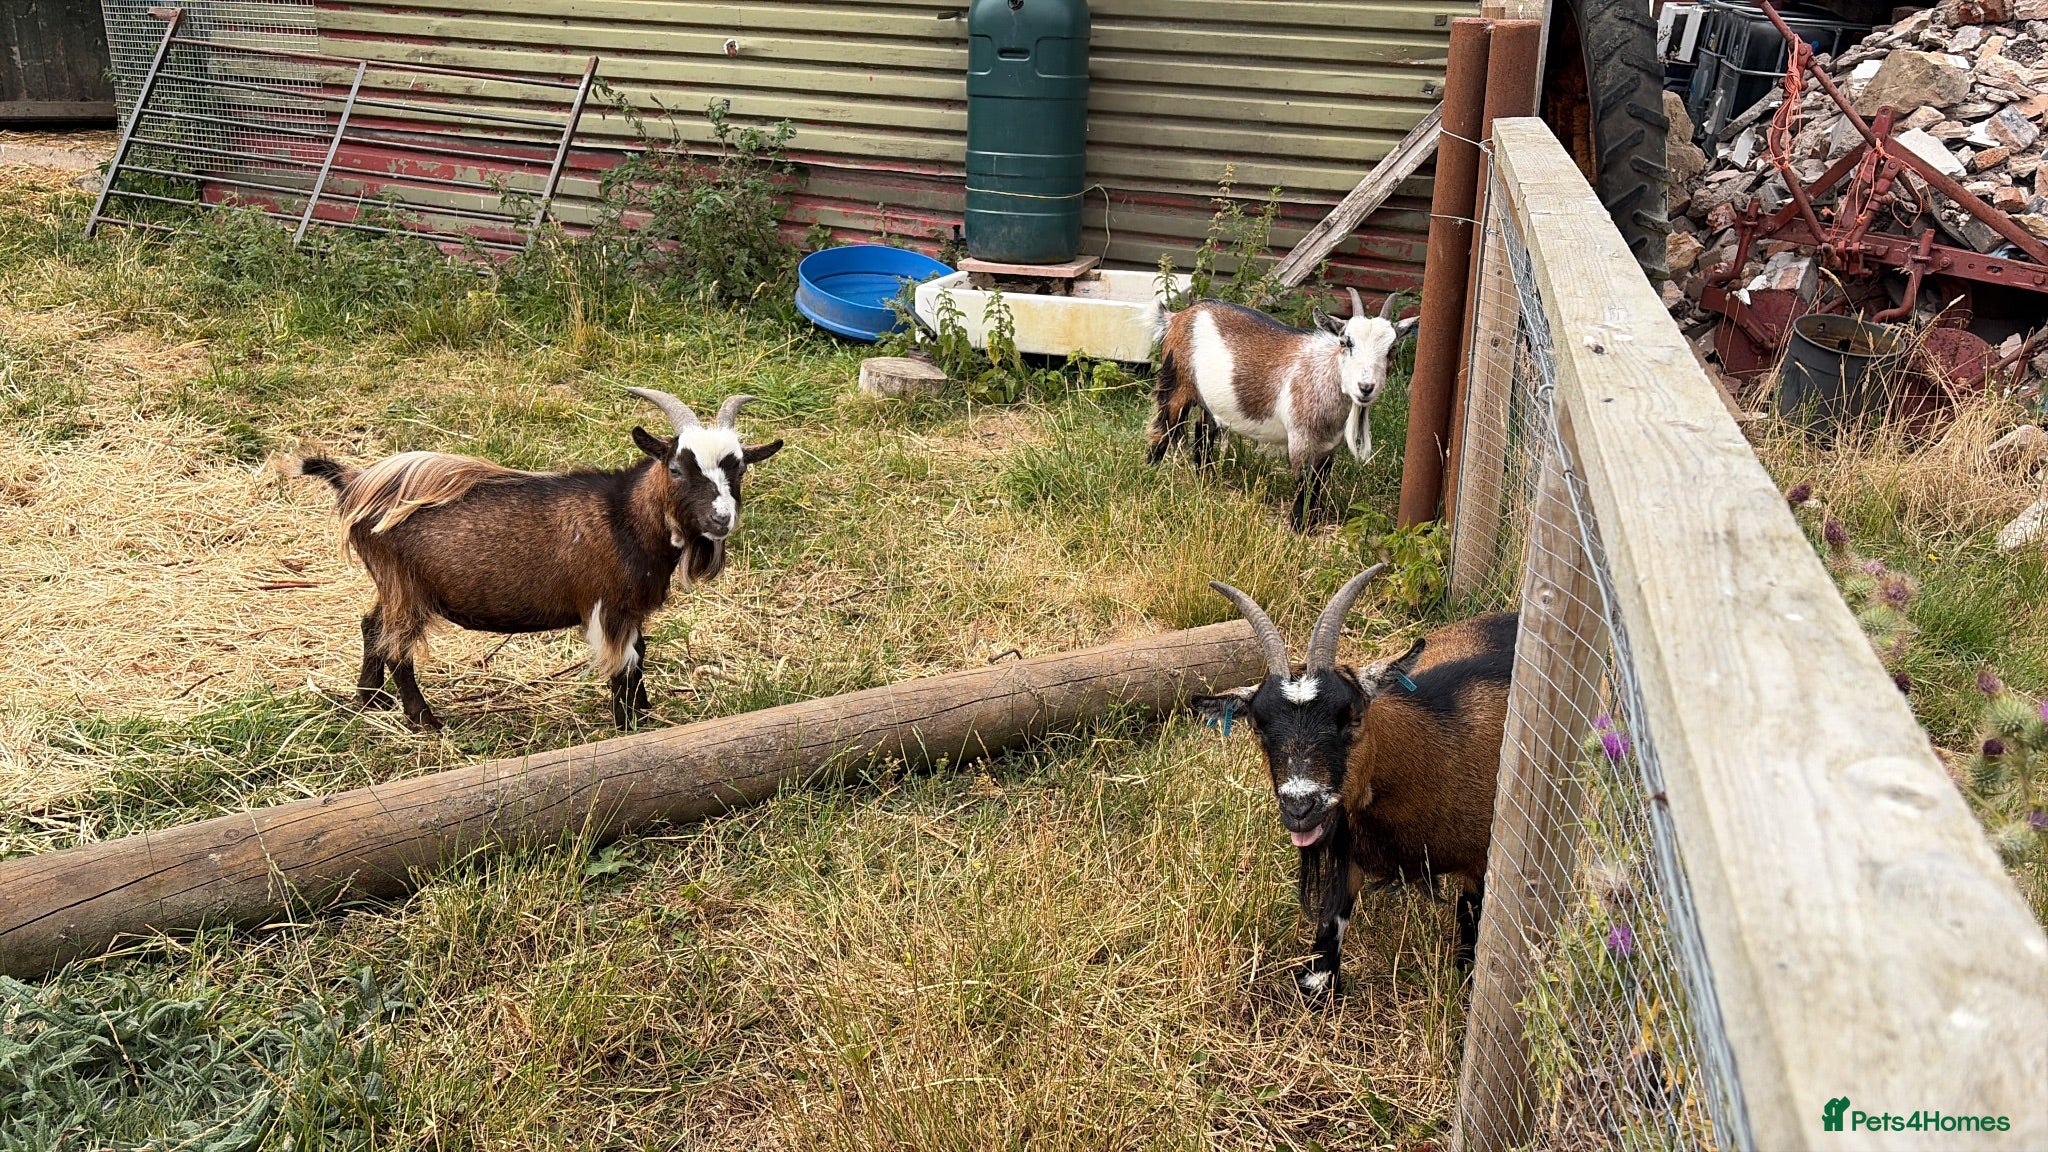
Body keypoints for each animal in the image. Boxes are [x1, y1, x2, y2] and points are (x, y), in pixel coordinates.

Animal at [296, 388, 782, 731]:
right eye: (677, 468)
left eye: (740, 468)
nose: (722, 519)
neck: (625, 515)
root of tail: (353, 484)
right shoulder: (609, 605)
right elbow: (623, 664)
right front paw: (628, 725)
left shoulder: (630, 607)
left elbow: (641, 654)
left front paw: (644, 711)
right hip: (405, 585)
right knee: (397, 646)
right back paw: (424, 720)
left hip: (391, 584)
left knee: (372, 626)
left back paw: (370, 699)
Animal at [1149, 288, 1417, 529]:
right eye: (1346, 342)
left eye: (1392, 349)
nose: (1366, 387)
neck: (1324, 373)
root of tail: (1178, 316)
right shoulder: (1301, 438)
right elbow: (1304, 483)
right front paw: (1298, 527)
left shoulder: (1330, 447)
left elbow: (1319, 483)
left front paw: (1313, 521)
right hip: (1177, 382)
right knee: (1163, 428)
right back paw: (1151, 472)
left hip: (1210, 400)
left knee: (1203, 431)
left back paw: (1206, 478)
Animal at [1191, 567, 1515, 998]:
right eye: (1258, 726)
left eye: (1352, 716)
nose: (1300, 807)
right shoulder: (1348, 858)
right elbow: (1322, 961)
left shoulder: (1480, 864)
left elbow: (1468, 943)